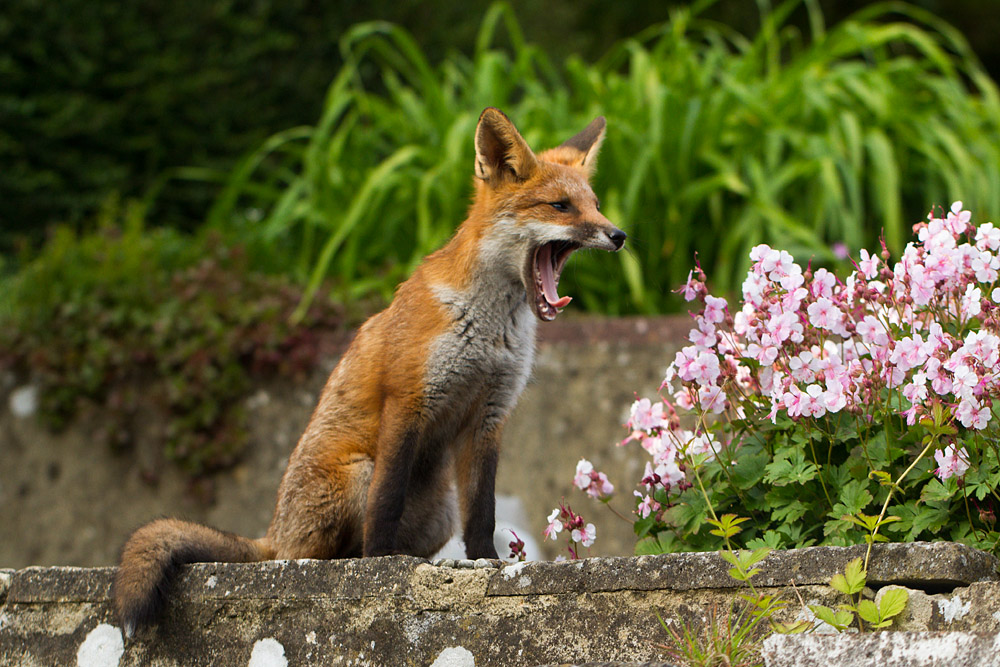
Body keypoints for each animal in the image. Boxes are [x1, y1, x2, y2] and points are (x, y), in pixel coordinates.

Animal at [112, 107, 626, 635]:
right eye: (561, 206)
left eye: (596, 205)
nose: (619, 235)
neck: (489, 325)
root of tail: (273, 534)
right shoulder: (408, 399)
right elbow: (386, 500)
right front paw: (379, 568)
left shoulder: (490, 415)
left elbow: (483, 511)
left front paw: (490, 564)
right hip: (355, 475)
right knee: (316, 552)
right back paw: (343, 562)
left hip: (441, 512)